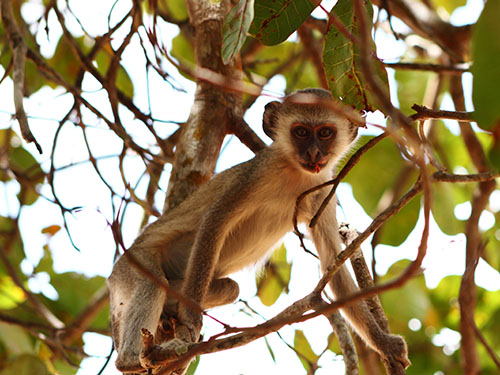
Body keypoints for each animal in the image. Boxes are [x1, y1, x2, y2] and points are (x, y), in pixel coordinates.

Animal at [107, 88, 408, 374]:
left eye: (324, 133)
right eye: (301, 132)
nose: (313, 154)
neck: (295, 173)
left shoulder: (324, 191)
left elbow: (333, 267)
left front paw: (384, 343)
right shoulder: (257, 174)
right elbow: (215, 221)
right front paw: (190, 326)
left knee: (230, 288)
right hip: (131, 265)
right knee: (151, 283)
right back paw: (132, 359)